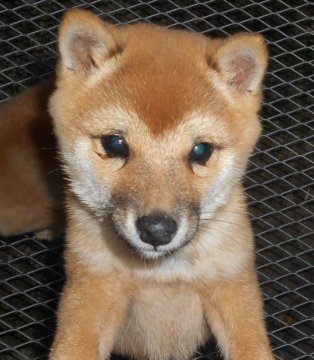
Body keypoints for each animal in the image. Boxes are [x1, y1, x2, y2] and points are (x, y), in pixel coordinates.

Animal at [1, 7, 274, 360]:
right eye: (115, 144)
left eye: (200, 151)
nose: (157, 230)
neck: (161, 276)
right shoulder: (90, 291)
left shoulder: (233, 288)